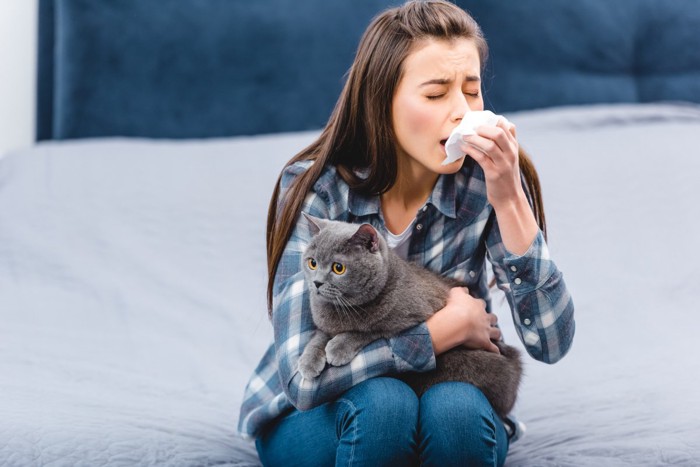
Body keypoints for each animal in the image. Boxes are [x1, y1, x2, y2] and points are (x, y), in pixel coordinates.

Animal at [298, 214, 524, 418]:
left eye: (339, 268)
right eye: (312, 263)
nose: (317, 283)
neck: (341, 309)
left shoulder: (415, 313)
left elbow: (371, 330)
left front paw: (338, 347)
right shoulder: (324, 325)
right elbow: (318, 336)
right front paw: (308, 362)